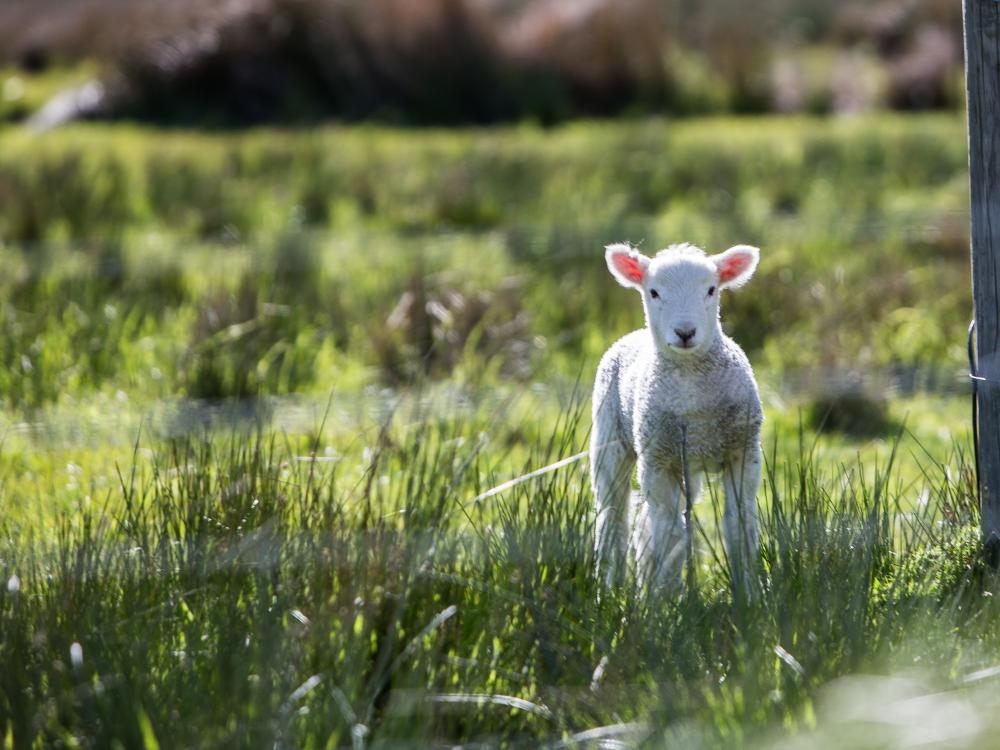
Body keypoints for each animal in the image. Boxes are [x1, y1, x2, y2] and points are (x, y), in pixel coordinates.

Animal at [588, 241, 760, 592]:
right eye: (653, 292)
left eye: (711, 289)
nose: (685, 332)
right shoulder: (658, 460)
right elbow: (668, 535)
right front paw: (665, 600)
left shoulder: (743, 451)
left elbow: (739, 527)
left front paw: (749, 594)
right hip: (610, 440)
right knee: (614, 518)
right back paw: (610, 589)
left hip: (685, 463)